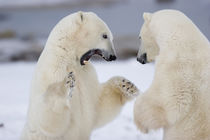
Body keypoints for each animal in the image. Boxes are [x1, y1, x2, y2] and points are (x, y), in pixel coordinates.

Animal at [20, 11, 139, 139]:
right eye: (104, 35)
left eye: (109, 36)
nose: (113, 56)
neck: (70, 60)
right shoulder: (52, 73)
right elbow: (48, 122)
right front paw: (65, 86)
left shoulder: (87, 75)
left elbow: (99, 106)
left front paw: (127, 86)